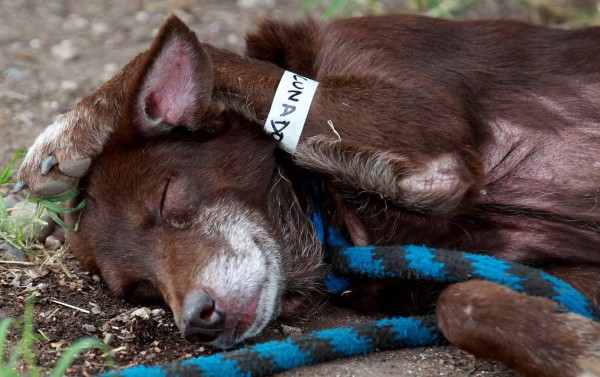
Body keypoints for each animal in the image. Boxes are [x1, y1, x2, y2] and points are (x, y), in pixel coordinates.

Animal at [16, 13, 596, 374]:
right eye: (140, 290)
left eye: (164, 196)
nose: (199, 323)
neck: (333, 211)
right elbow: (460, 300)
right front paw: (576, 345)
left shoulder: (428, 138)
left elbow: (211, 60)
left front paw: (70, 131)